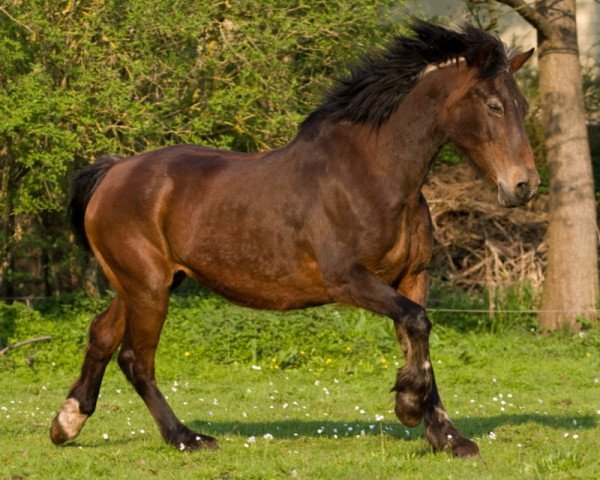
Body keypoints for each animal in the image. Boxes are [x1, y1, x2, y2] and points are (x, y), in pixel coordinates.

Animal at [50, 19, 540, 458]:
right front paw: (408, 406)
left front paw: (449, 438)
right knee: (136, 359)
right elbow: (417, 324)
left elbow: (419, 336)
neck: (372, 175)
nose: (524, 186)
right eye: (494, 106)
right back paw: (186, 438)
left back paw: (67, 423)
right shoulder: (349, 281)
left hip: (146, 284)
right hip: (148, 286)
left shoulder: (411, 277)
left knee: (102, 334)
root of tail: (113, 171)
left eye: (522, 104)